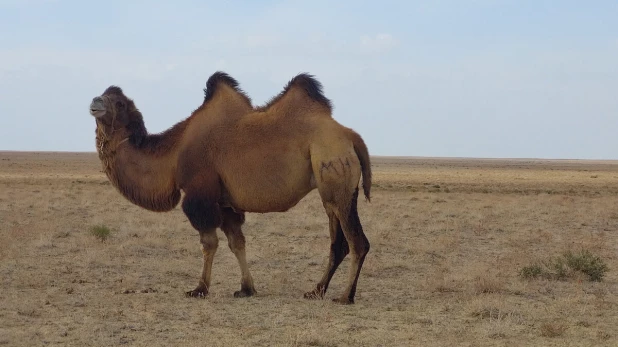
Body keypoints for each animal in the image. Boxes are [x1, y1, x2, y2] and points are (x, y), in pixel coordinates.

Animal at [88, 72, 370, 304]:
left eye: (119, 103)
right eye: (104, 93)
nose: (94, 101)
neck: (175, 154)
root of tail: (352, 136)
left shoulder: (200, 196)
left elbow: (209, 243)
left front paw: (199, 289)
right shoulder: (225, 202)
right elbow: (237, 242)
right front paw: (246, 288)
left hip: (335, 173)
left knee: (358, 242)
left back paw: (345, 296)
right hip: (330, 191)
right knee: (338, 243)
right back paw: (316, 291)